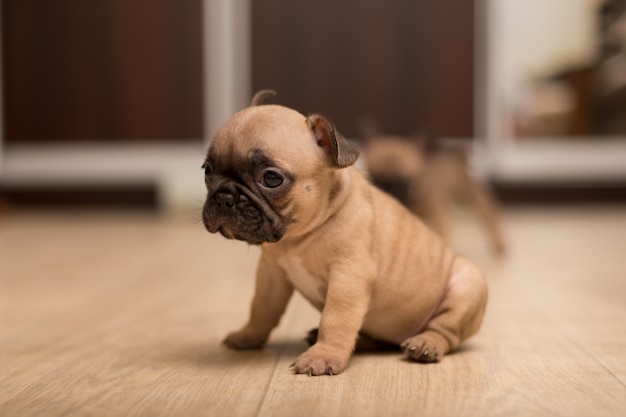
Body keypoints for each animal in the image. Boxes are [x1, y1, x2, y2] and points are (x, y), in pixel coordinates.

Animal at [202, 90, 486, 374]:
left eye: (271, 179)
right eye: (207, 171)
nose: (224, 197)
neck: (299, 238)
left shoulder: (348, 277)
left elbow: (335, 319)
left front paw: (323, 356)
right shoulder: (271, 274)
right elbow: (261, 308)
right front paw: (248, 335)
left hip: (468, 283)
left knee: (446, 331)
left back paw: (427, 343)